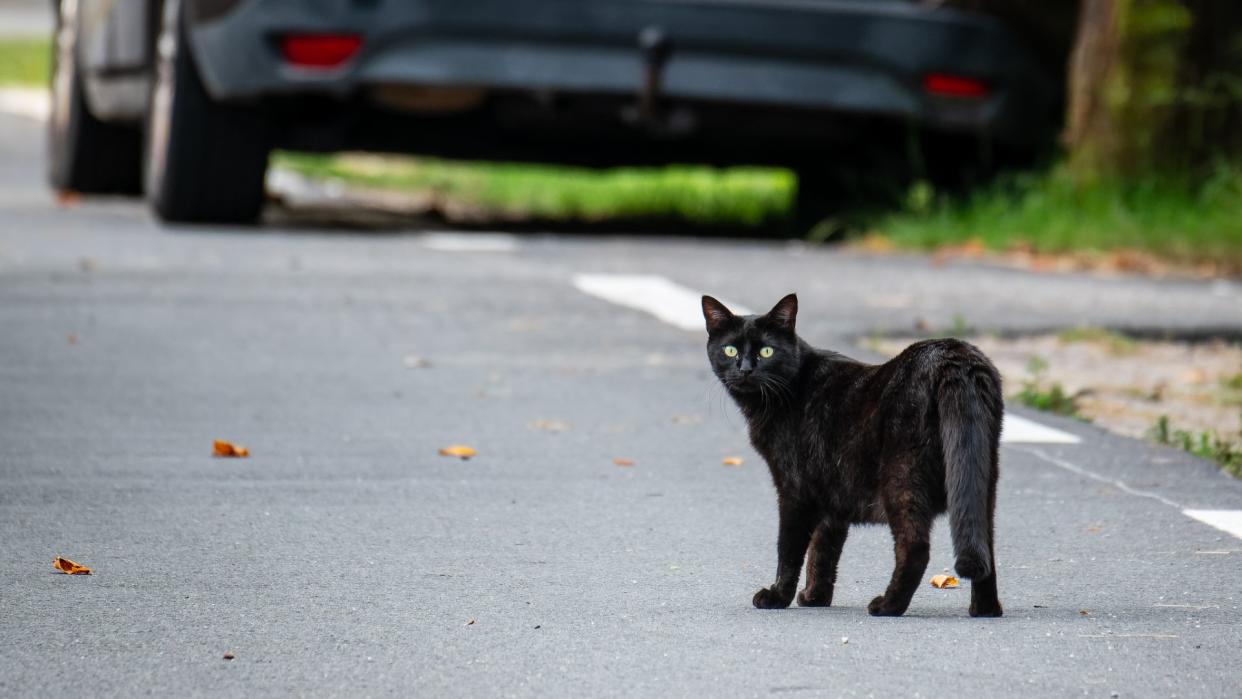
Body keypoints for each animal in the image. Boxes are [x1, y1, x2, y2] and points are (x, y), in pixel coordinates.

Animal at [705, 294, 1003, 618]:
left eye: (766, 351)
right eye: (730, 350)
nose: (745, 369)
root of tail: (953, 355)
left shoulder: (794, 490)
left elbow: (789, 549)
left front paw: (777, 596)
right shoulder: (830, 494)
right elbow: (823, 549)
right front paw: (815, 596)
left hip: (902, 478)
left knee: (915, 547)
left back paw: (887, 605)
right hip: (981, 480)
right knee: (985, 544)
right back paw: (985, 609)